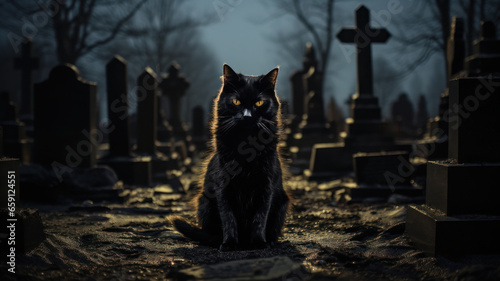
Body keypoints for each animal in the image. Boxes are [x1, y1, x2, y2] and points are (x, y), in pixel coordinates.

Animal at [171, 64, 292, 252]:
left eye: (259, 102)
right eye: (236, 102)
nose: (247, 116)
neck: (246, 142)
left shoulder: (266, 186)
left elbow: (260, 218)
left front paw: (259, 243)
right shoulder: (223, 187)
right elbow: (228, 218)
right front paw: (229, 243)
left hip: (282, 203)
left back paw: (269, 241)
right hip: (204, 202)